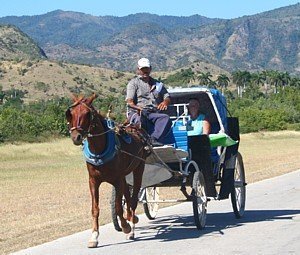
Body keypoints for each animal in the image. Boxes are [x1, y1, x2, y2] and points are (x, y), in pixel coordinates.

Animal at [65, 94, 148, 247]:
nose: (76, 137)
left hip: (139, 167)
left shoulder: (116, 180)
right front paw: (94, 236)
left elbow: (118, 206)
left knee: (133, 199)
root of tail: (136, 129)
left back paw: (132, 227)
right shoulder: (93, 181)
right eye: (71, 113)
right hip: (124, 176)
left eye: (87, 113)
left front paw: (125, 226)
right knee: (128, 196)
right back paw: (131, 218)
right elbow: (95, 209)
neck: (99, 151)